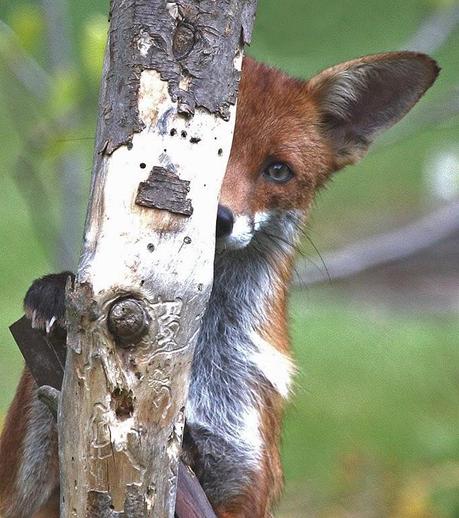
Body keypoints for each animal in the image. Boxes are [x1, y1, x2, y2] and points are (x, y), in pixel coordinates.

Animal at [0, 51, 440, 518]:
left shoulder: (247, 477)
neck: (193, 355)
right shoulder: (23, 491)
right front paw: (56, 293)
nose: (219, 220)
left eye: (278, 170)